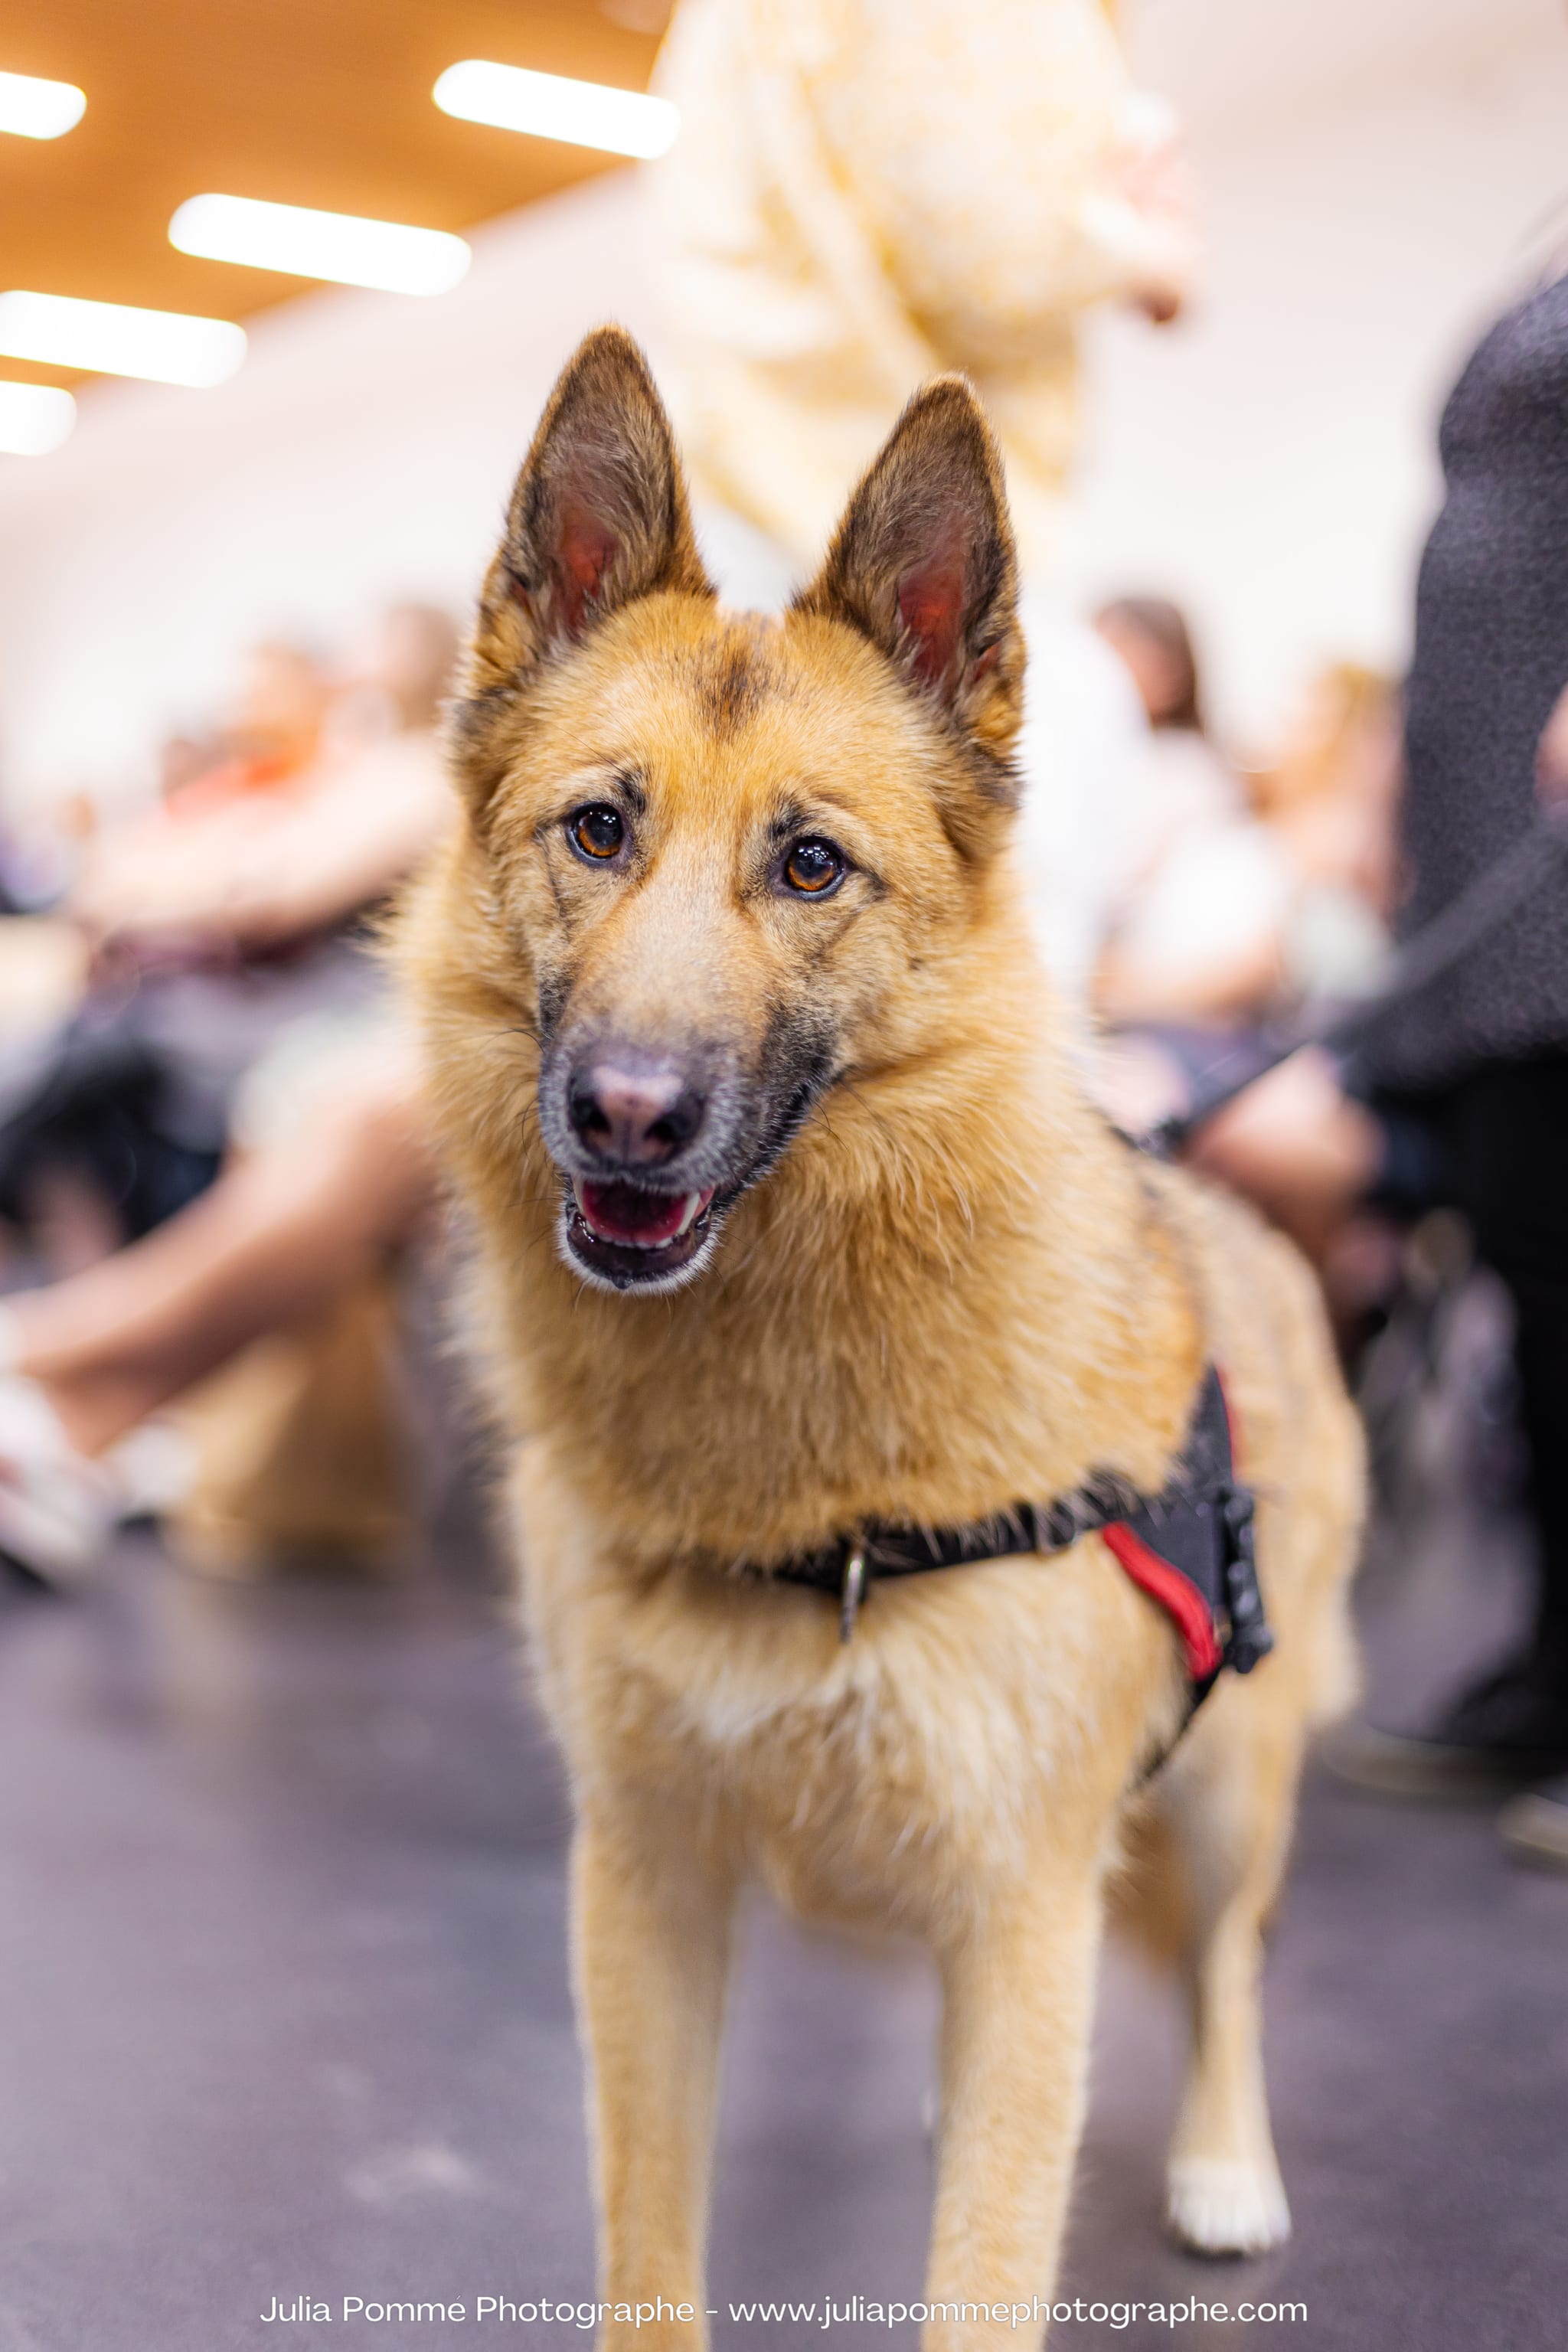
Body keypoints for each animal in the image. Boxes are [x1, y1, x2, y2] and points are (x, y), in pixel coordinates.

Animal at [402, 322, 1363, 2342]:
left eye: (810, 866)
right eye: (596, 831)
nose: (623, 1117)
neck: (809, 1465)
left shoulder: (1020, 1898)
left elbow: (987, 2260)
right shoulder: (645, 1894)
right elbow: (650, 2255)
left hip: (1232, 1785)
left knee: (1227, 1966)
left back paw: (1224, 2160)